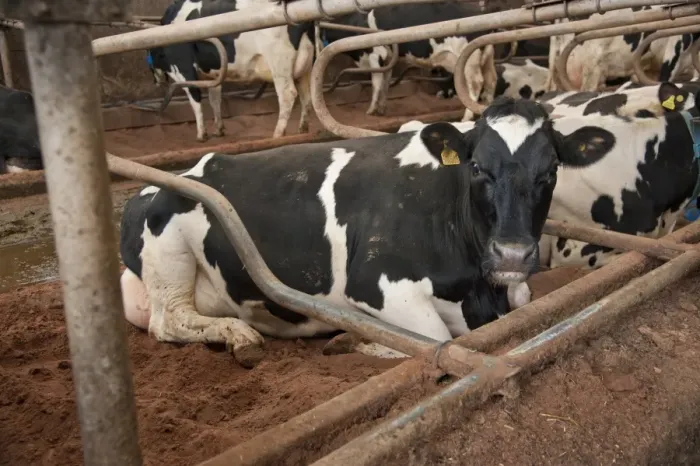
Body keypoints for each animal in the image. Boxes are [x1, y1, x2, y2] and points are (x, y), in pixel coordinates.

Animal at [118, 97, 609, 366]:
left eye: (551, 170)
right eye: (476, 167)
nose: (511, 253)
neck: (479, 290)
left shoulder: (514, 290)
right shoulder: (377, 281)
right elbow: (436, 338)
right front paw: (354, 340)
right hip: (169, 250)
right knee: (169, 320)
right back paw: (239, 336)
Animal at [146, 0, 315, 142]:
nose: (155, 81)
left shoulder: (183, 69)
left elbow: (195, 100)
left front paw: (201, 134)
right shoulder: (213, 75)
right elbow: (215, 100)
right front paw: (218, 130)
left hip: (279, 63)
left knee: (288, 94)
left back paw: (277, 134)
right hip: (305, 67)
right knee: (306, 96)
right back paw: (302, 129)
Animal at [318, 3, 498, 119]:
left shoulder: (377, 55)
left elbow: (376, 82)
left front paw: (371, 110)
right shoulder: (388, 58)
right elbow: (385, 81)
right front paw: (381, 108)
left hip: (468, 58)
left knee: (475, 83)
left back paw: (467, 116)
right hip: (486, 56)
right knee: (491, 80)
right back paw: (486, 109)